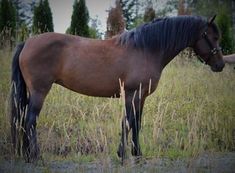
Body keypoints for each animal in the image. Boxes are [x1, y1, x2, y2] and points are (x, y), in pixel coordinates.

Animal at [10, 15, 224, 162]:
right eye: (213, 37)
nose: (220, 65)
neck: (146, 49)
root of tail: (27, 42)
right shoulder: (132, 94)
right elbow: (128, 122)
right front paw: (124, 154)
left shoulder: (141, 96)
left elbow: (137, 123)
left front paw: (137, 154)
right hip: (39, 92)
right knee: (30, 121)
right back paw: (35, 156)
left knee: (24, 120)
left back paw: (27, 155)